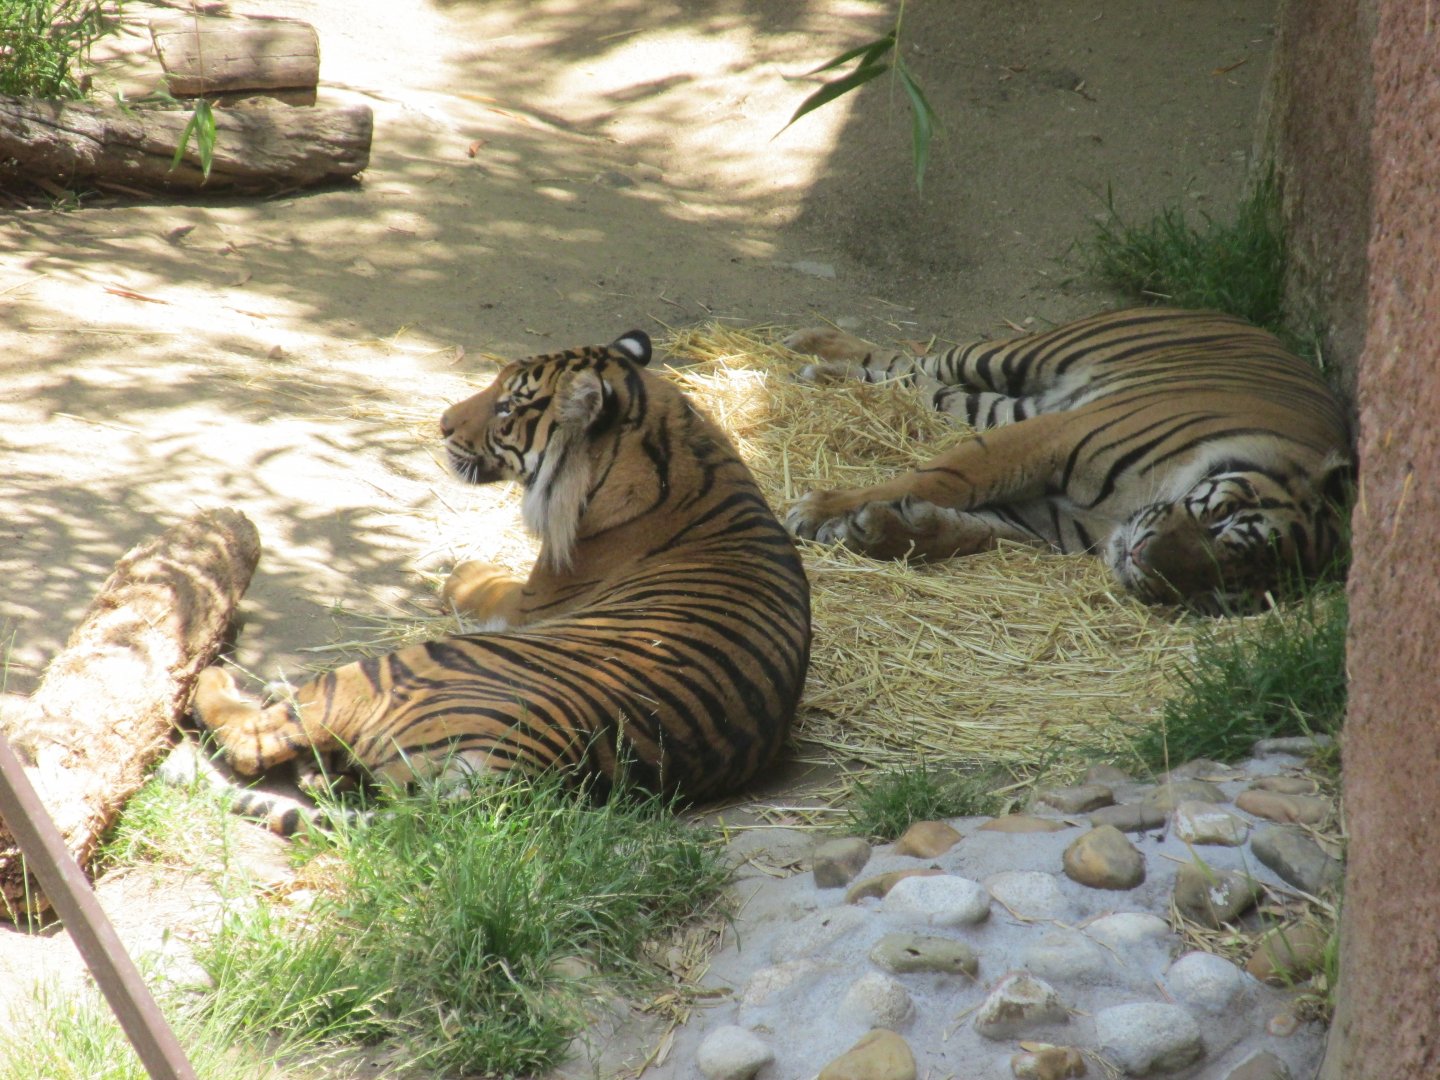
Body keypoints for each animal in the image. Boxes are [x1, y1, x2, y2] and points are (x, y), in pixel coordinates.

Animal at [186, 330, 812, 834]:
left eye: (508, 407)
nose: (442, 424)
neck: (664, 437)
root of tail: (511, 777)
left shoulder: (530, 599)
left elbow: (481, 579)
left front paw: (456, 566)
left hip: (405, 663)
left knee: (255, 741)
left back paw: (215, 680)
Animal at [783, 307, 1350, 611]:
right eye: (1223, 515)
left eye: (1220, 589)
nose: (1141, 559)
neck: (1126, 511)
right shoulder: (1051, 436)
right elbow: (944, 477)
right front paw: (818, 510)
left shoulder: (1044, 520)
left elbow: (970, 530)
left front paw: (874, 531)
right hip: (1015, 358)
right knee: (921, 360)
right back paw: (810, 342)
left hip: (1000, 405)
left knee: (916, 384)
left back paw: (822, 373)